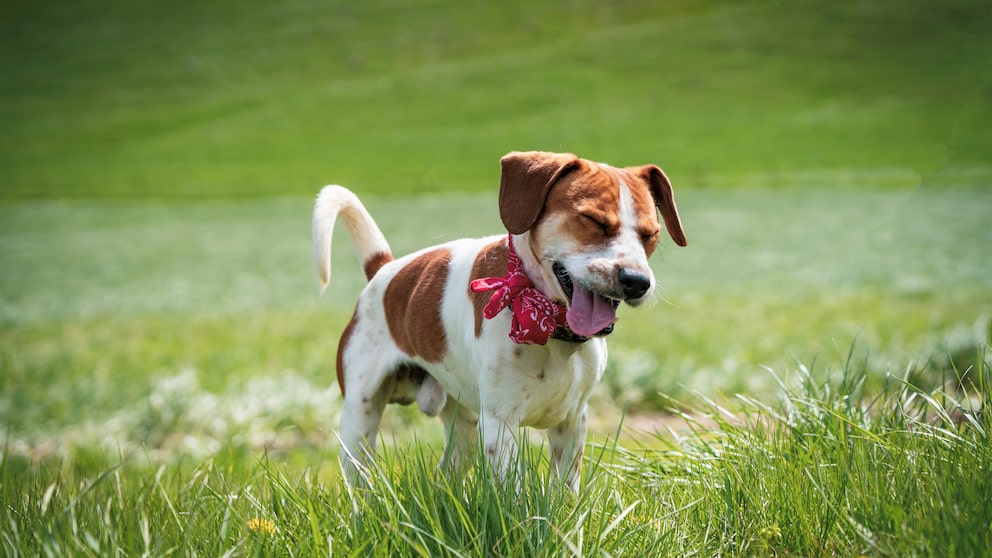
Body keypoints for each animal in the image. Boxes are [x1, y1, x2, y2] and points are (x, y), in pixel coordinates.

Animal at [314, 151, 684, 492]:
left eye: (651, 234)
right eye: (593, 220)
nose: (637, 281)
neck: (549, 326)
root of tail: (384, 269)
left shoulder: (572, 421)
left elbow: (565, 492)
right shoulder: (499, 424)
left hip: (463, 427)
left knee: (445, 472)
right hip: (359, 418)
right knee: (360, 477)